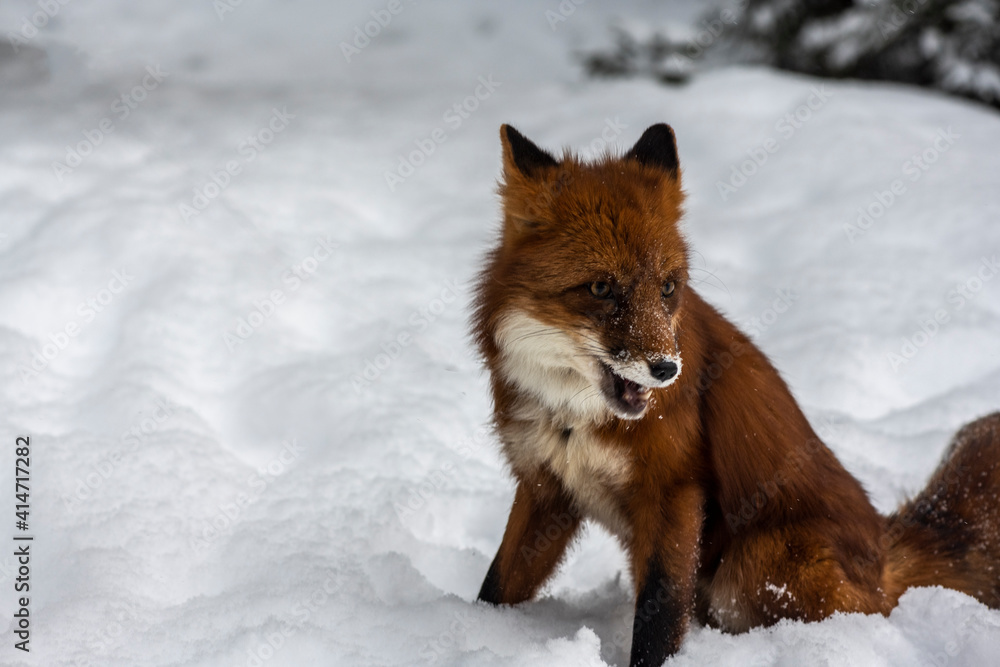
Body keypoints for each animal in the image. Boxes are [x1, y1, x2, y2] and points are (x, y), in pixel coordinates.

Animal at [472, 122, 1000, 666]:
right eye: (601, 288)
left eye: (668, 288)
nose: (667, 370)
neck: (573, 420)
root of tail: (882, 551)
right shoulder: (545, 487)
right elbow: (498, 585)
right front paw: (477, 630)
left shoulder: (675, 489)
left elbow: (660, 613)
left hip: (755, 563)